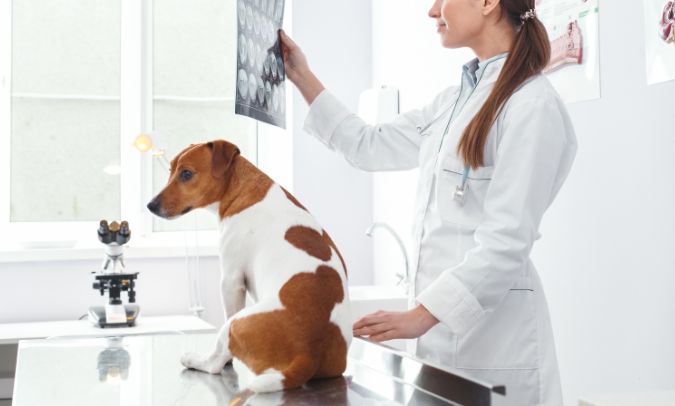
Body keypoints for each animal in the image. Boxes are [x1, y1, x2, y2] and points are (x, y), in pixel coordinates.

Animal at [145, 140, 352, 394]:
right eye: (170, 171)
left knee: (215, 361)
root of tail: (309, 351)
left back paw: (196, 359)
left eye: (186, 174)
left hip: (234, 323)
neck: (242, 189)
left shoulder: (231, 281)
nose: (150, 205)